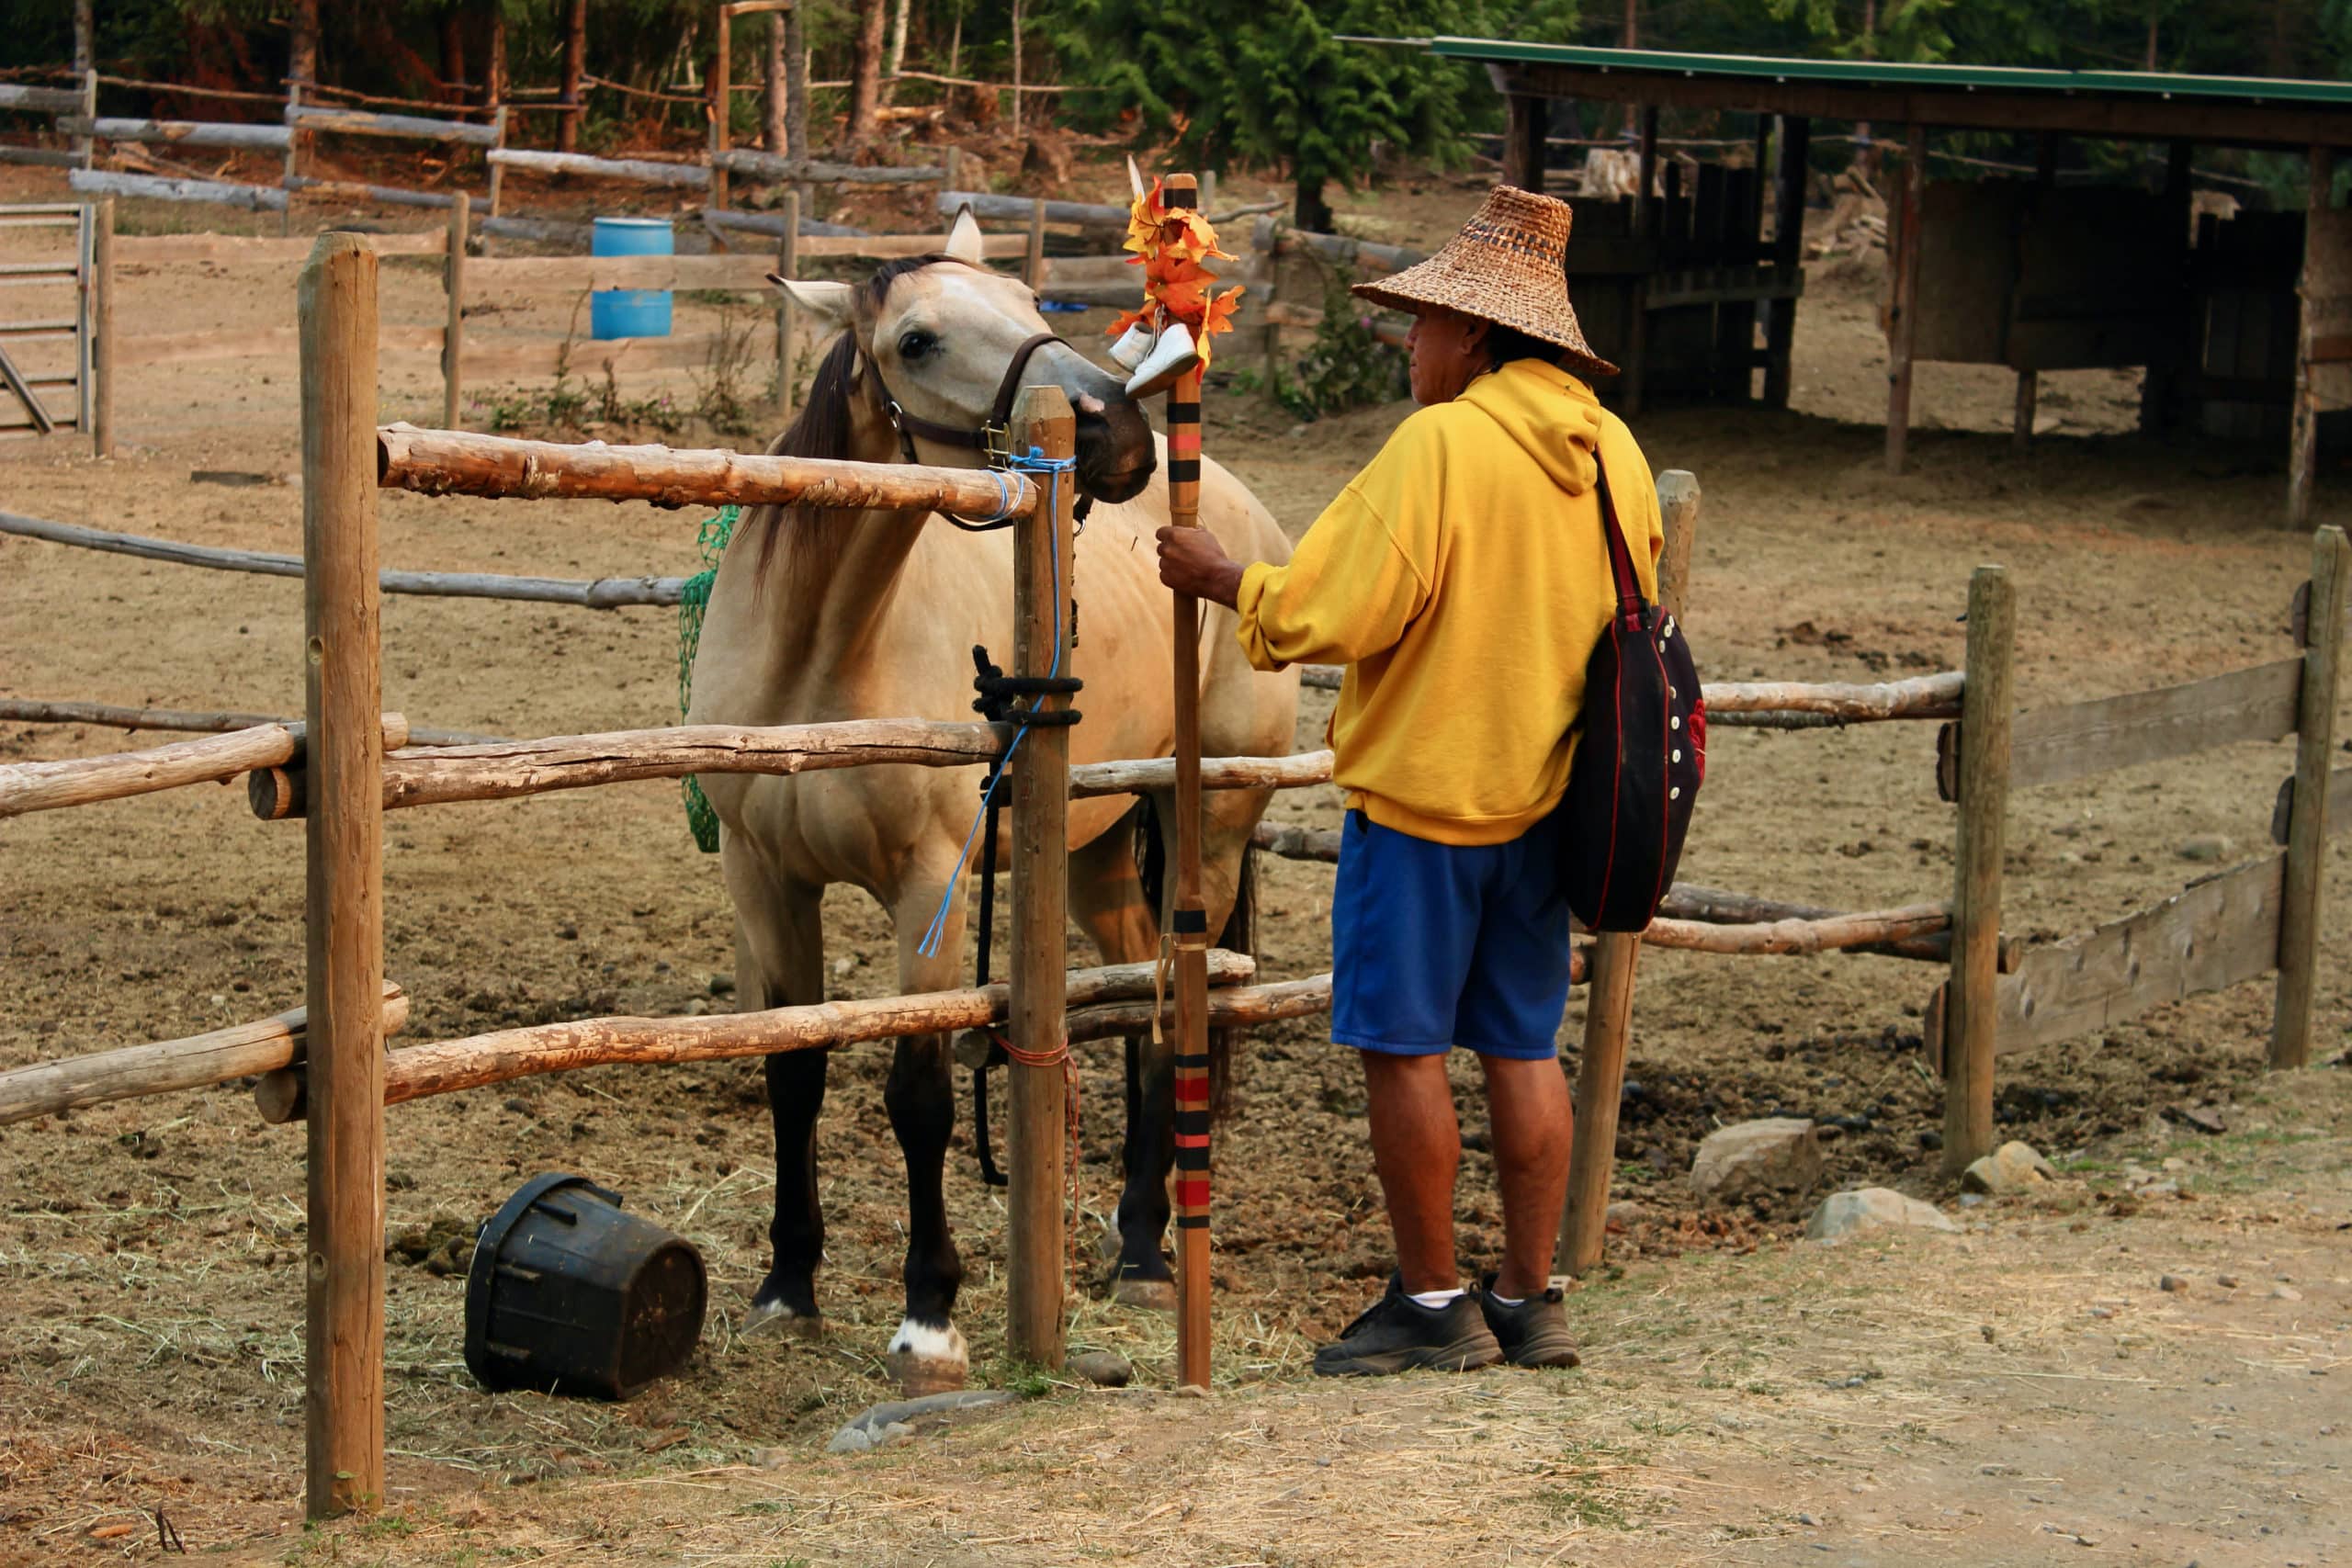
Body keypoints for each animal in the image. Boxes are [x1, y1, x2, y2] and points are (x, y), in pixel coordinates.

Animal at [685, 209, 1299, 1393]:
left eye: (1025, 302)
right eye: (917, 340)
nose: (1115, 424)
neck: (820, 656)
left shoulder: (930, 888)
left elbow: (918, 1097)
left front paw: (928, 1317)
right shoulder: (762, 878)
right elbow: (794, 1070)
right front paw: (787, 1285)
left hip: (1204, 826)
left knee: (1176, 1010)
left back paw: (1149, 1255)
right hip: (1094, 854)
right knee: (1138, 996)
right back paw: (1138, 1239)